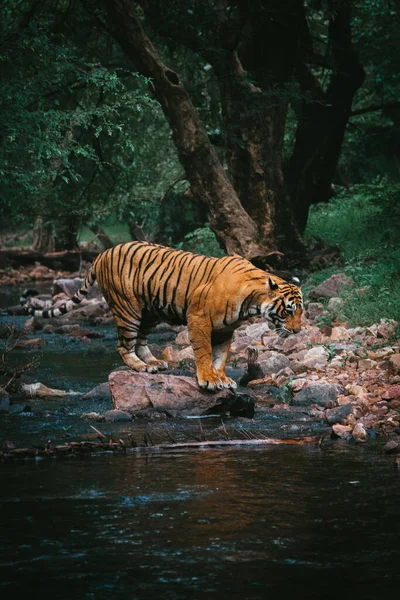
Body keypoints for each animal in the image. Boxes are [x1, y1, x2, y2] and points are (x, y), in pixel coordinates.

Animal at [21, 241, 304, 392]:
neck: (252, 302)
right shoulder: (199, 318)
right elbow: (204, 352)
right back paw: (141, 366)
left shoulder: (226, 329)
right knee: (124, 346)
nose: (298, 331)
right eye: (289, 310)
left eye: (302, 312)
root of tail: (103, 252)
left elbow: (221, 355)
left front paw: (222, 377)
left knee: (141, 342)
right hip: (128, 310)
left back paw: (155, 362)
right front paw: (209, 380)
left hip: (149, 312)